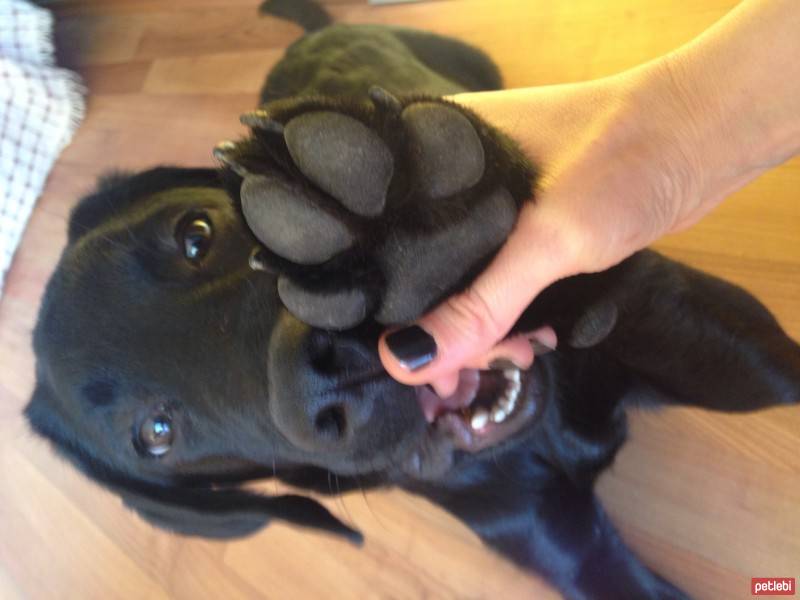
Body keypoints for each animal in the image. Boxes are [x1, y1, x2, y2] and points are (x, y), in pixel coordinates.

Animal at [26, 2, 800, 596]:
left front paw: (406, 226)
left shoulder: (726, 341)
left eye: (195, 235)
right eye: (156, 435)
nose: (325, 375)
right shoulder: (560, 543)